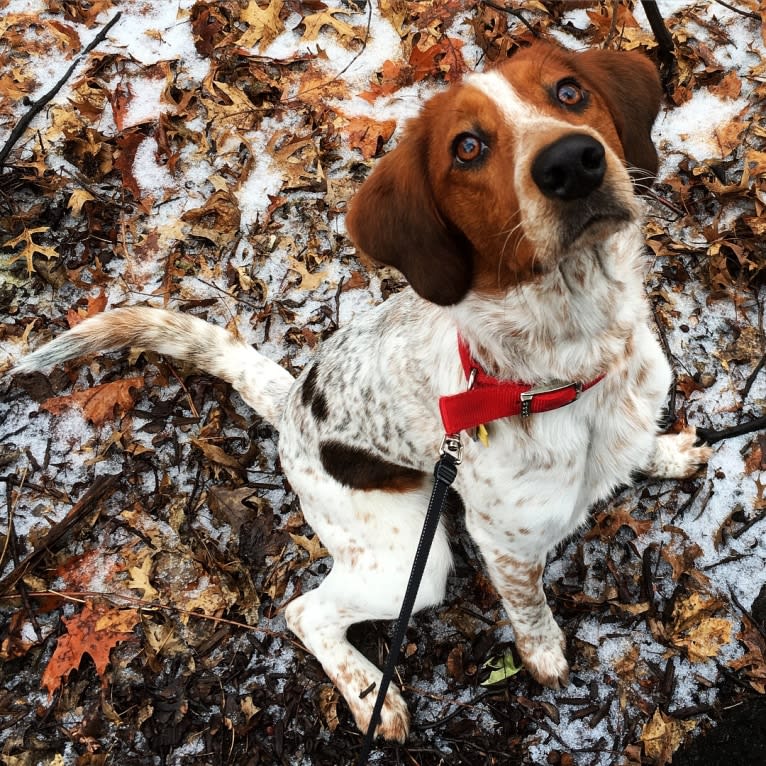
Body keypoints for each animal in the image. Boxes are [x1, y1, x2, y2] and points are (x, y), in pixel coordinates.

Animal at [10, 40, 712, 744]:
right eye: (467, 148)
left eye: (569, 92)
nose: (571, 162)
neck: (571, 365)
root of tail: (292, 400)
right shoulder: (507, 547)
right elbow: (531, 611)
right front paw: (544, 658)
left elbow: (635, 448)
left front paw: (663, 454)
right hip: (407, 565)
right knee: (305, 612)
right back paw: (371, 691)